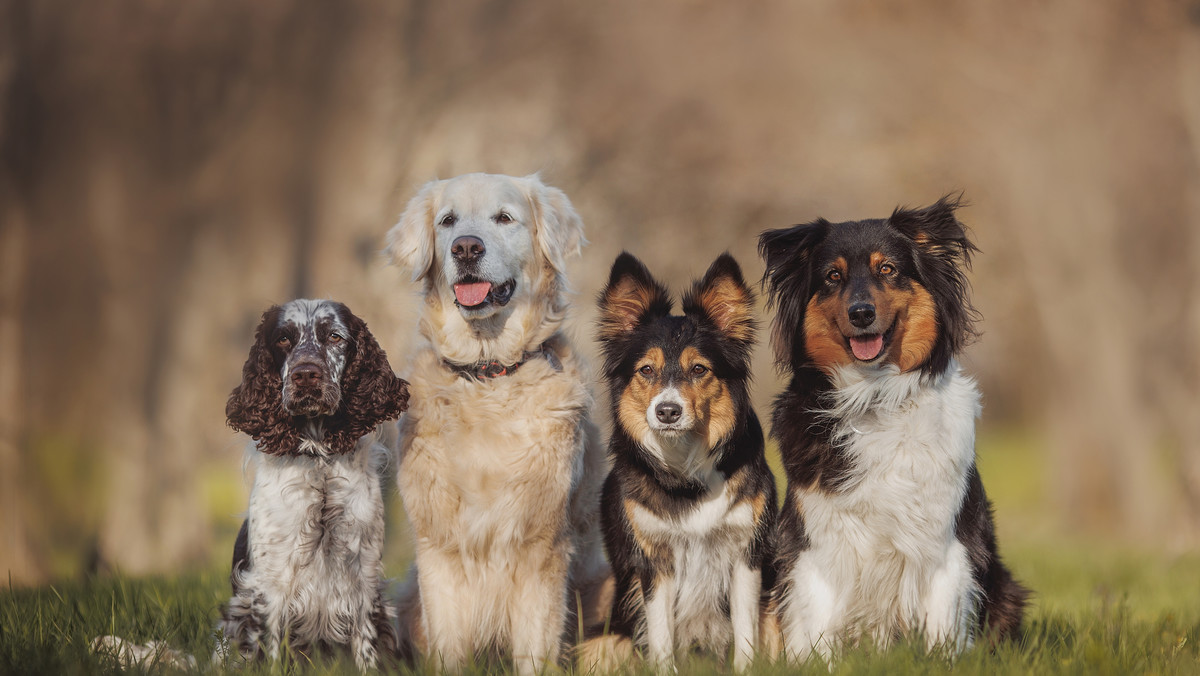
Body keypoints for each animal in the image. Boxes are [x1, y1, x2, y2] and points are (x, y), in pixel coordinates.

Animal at [220, 301, 412, 672]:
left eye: (335, 336)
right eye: (283, 339)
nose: (305, 374)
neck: (319, 459)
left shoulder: (364, 574)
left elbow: (366, 646)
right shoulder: (270, 582)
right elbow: (270, 647)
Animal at [386, 172, 609, 672]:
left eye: (504, 218)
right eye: (448, 221)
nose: (466, 248)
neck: (487, 377)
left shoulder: (542, 547)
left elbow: (536, 647)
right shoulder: (438, 551)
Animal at [585, 254, 782, 672]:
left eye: (699, 369)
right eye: (646, 370)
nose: (667, 411)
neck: (685, 472)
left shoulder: (746, 552)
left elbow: (745, 630)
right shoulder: (654, 561)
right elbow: (660, 634)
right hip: (605, 637)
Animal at [753, 195, 1027, 662]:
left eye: (888, 269)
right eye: (832, 276)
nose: (861, 313)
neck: (875, 395)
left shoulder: (947, 542)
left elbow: (942, 625)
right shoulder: (815, 543)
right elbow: (815, 627)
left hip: (1006, 589)